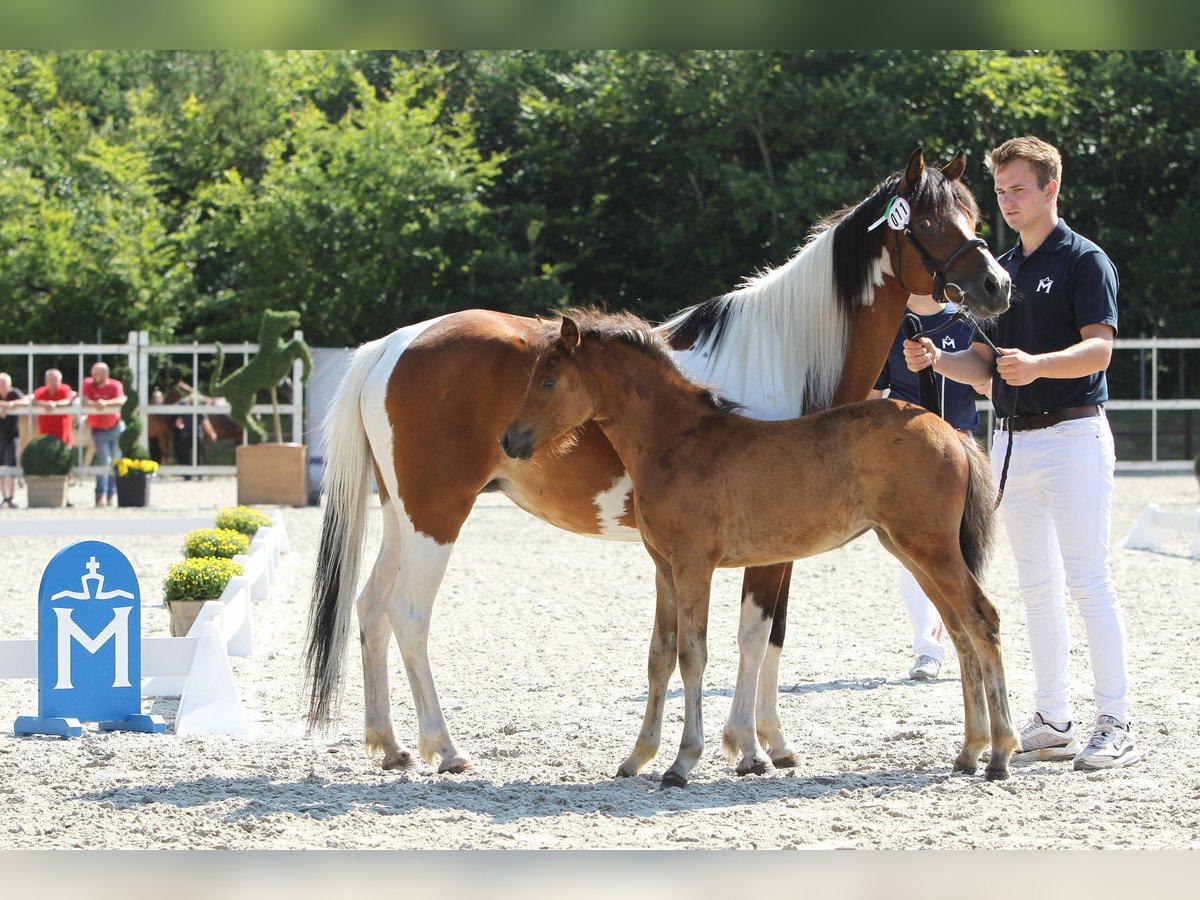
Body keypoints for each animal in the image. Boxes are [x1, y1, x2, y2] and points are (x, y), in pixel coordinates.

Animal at [501, 312, 1017, 787]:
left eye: (549, 380)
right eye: (531, 377)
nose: (510, 439)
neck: (678, 442)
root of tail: (952, 433)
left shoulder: (694, 565)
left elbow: (692, 654)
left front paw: (682, 763)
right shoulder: (663, 566)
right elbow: (660, 655)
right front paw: (636, 758)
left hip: (931, 548)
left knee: (983, 618)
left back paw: (999, 754)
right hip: (909, 548)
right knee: (959, 628)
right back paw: (969, 751)